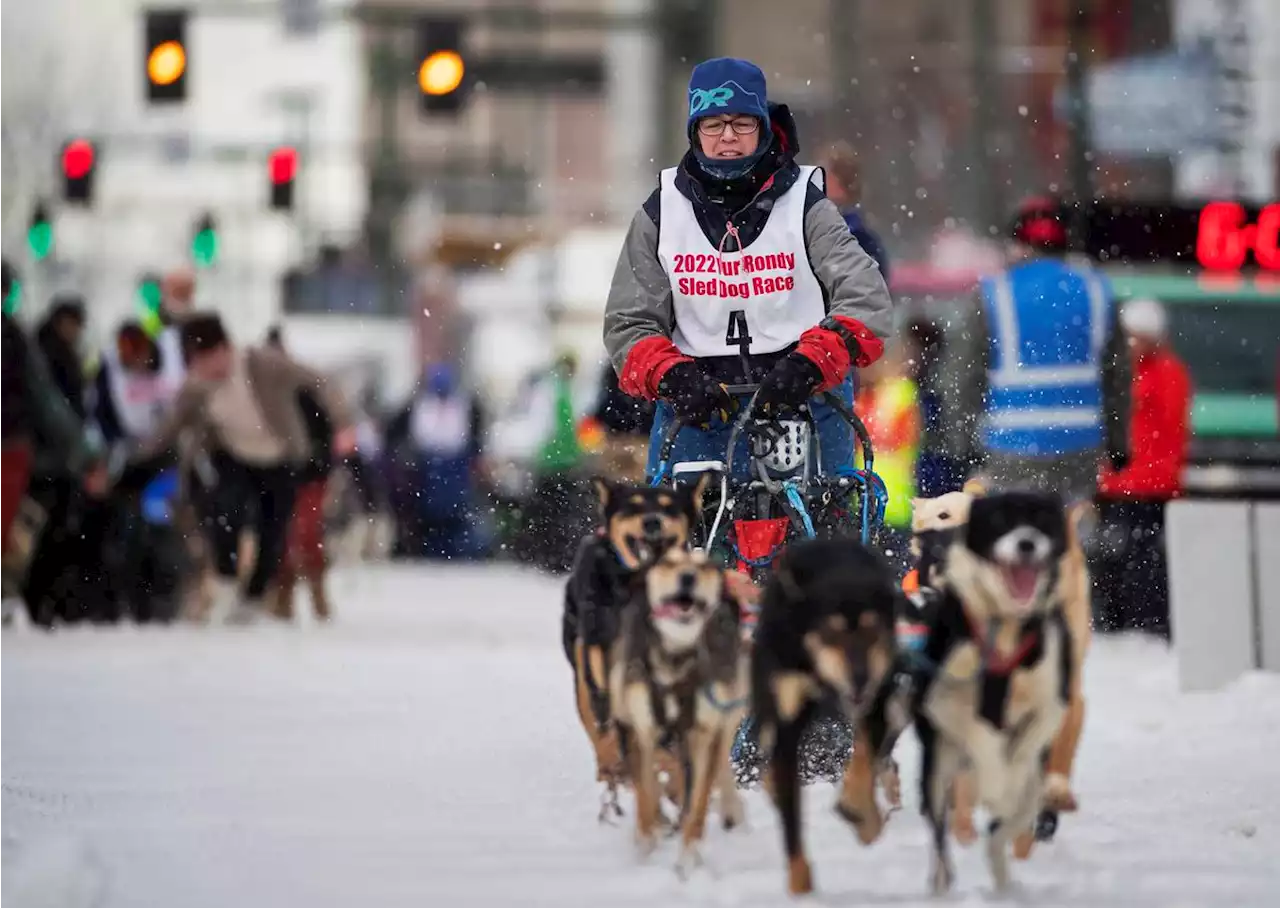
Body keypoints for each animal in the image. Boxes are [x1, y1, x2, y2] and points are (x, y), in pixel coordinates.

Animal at [606, 545, 747, 870]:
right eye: (668, 563)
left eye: (704, 566)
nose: (687, 577)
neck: (676, 659)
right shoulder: (639, 731)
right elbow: (646, 795)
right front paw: (646, 848)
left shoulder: (705, 731)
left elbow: (698, 801)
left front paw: (688, 859)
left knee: (718, 765)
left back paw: (730, 811)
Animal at [747, 537, 901, 891]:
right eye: (832, 633)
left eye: (872, 632)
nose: (859, 678)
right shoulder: (785, 724)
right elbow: (791, 822)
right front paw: (801, 885)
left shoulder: (875, 703)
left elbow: (863, 763)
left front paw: (860, 812)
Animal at [906, 489, 1075, 891]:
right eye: (998, 521)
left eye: (1042, 522)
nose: (1027, 544)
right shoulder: (945, 701)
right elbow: (981, 735)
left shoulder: (1052, 700)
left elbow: (1028, 742)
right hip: (937, 769)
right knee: (942, 835)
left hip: (1030, 792)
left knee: (1002, 833)